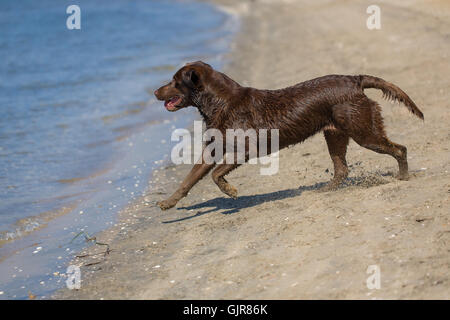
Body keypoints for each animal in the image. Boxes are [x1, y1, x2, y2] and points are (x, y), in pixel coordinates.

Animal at [154, 60, 422, 210]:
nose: (154, 92)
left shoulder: (246, 149)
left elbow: (216, 174)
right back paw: (323, 190)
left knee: (400, 149)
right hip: (335, 134)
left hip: (363, 132)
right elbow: (189, 179)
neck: (221, 102)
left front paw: (230, 191)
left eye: (175, 81)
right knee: (342, 169)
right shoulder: (211, 150)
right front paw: (169, 202)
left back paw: (403, 176)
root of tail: (355, 80)